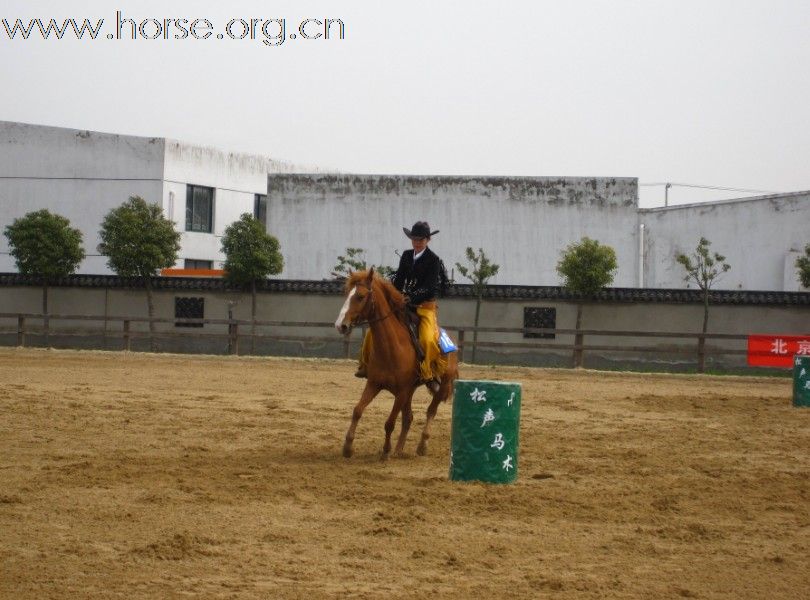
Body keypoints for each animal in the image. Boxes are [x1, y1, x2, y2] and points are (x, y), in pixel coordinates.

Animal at [332, 268, 458, 460]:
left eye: (360, 296)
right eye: (347, 294)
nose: (341, 325)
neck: (392, 348)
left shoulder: (402, 392)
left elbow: (390, 422)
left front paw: (385, 451)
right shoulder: (374, 384)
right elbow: (357, 410)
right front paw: (348, 447)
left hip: (441, 386)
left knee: (430, 411)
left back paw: (422, 446)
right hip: (410, 391)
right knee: (408, 418)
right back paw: (399, 449)